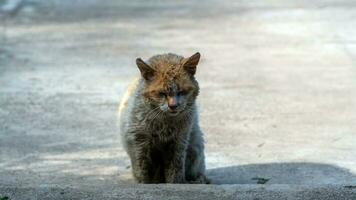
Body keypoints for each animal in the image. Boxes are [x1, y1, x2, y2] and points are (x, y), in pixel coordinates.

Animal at [118, 52, 210, 184]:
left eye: (182, 92)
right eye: (161, 93)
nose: (173, 105)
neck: (164, 122)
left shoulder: (179, 141)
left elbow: (175, 168)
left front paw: (176, 183)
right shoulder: (138, 141)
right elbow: (142, 170)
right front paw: (143, 183)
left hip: (195, 145)